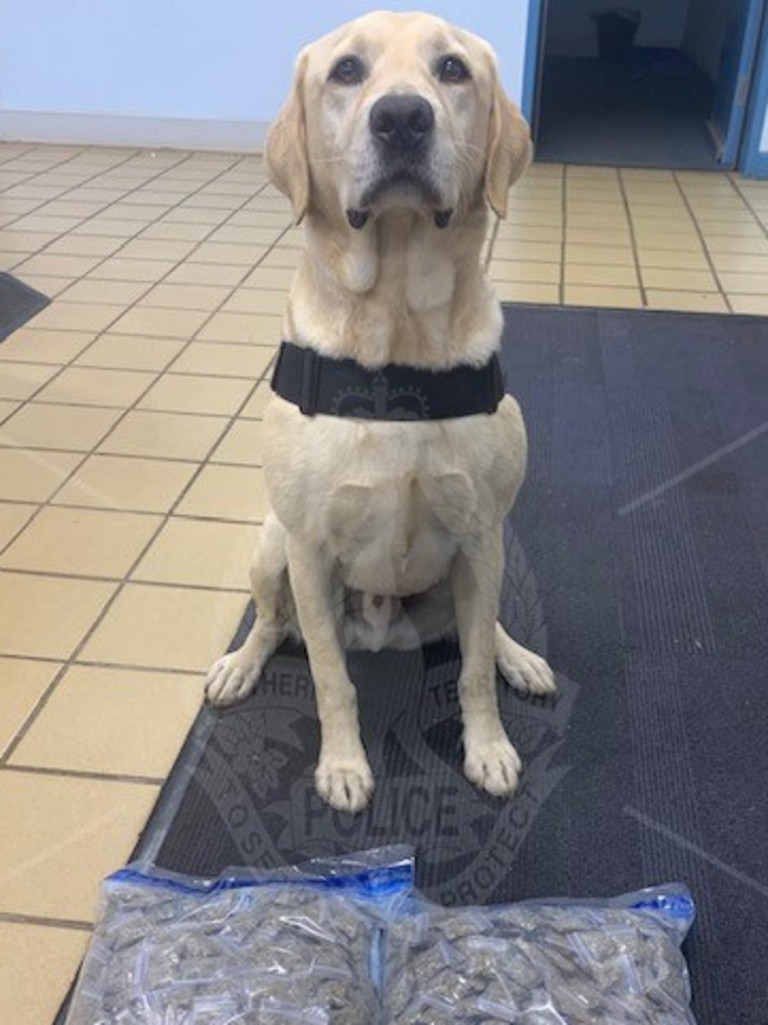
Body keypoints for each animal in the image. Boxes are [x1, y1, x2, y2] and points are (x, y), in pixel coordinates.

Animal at [204, 8, 553, 811]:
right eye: (347, 71)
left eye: (452, 69)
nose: (401, 118)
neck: (397, 331)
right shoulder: (307, 548)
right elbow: (331, 678)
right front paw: (342, 765)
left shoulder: (480, 534)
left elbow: (474, 669)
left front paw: (488, 748)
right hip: (271, 547)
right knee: (274, 622)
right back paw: (240, 663)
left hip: (480, 560)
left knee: (485, 628)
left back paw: (520, 656)